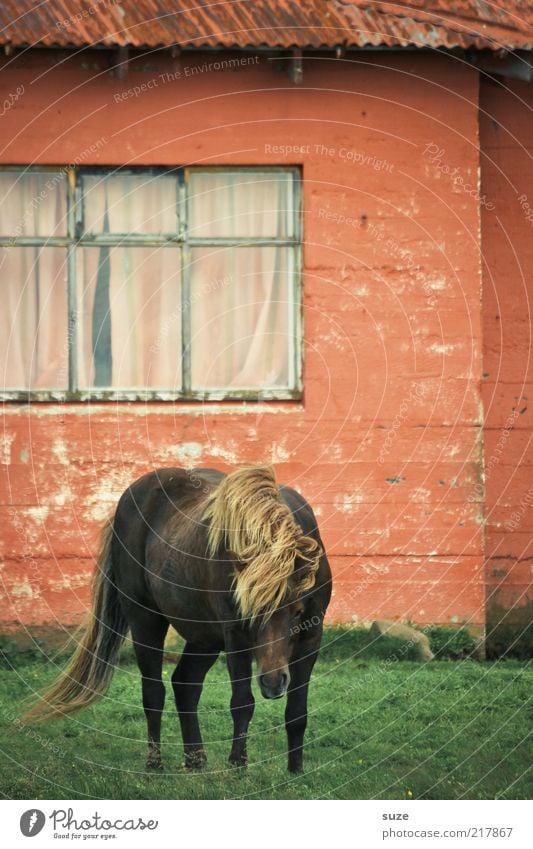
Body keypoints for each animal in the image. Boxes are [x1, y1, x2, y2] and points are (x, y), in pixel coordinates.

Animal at [26, 468, 332, 772]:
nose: (272, 682)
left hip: (204, 637)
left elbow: (297, 711)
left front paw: (295, 770)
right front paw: (237, 766)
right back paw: (155, 764)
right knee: (153, 691)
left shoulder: (311, 636)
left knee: (185, 683)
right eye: (249, 612)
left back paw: (195, 759)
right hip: (145, 619)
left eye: (298, 612)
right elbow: (242, 702)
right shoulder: (235, 636)